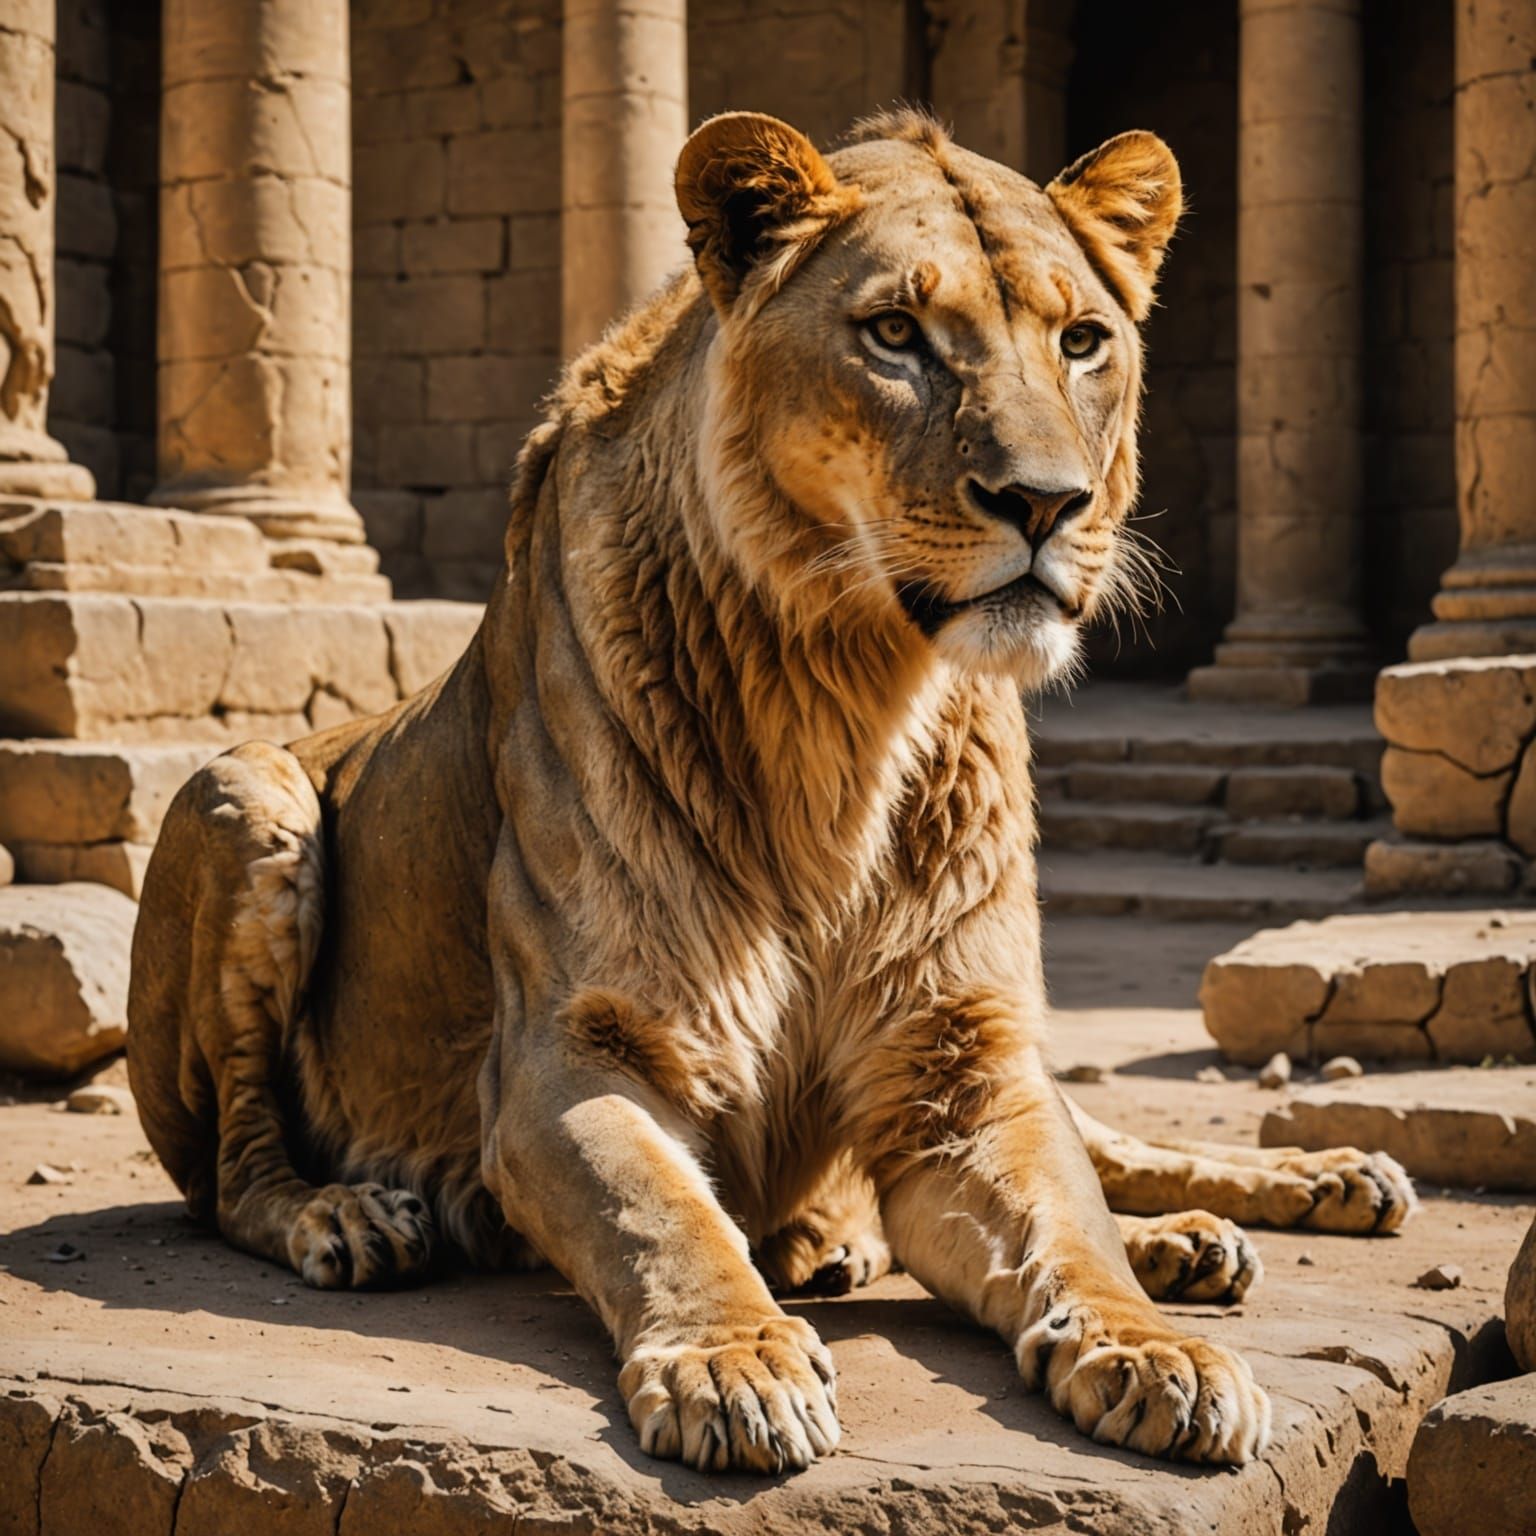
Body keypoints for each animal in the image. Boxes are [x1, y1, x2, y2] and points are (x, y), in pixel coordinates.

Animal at [127, 109, 1414, 1475]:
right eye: (895, 334)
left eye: (1082, 341)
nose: (1047, 502)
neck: (850, 701)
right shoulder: (567, 1054)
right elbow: (666, 1218)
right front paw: (733, 1363)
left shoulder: (960, 1057)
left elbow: (1070, 1222)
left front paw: (1155, 1348)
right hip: (243, 795)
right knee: (232, 1169)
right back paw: (354, 1217)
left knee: (1101, 1141)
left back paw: (1282, 1200)